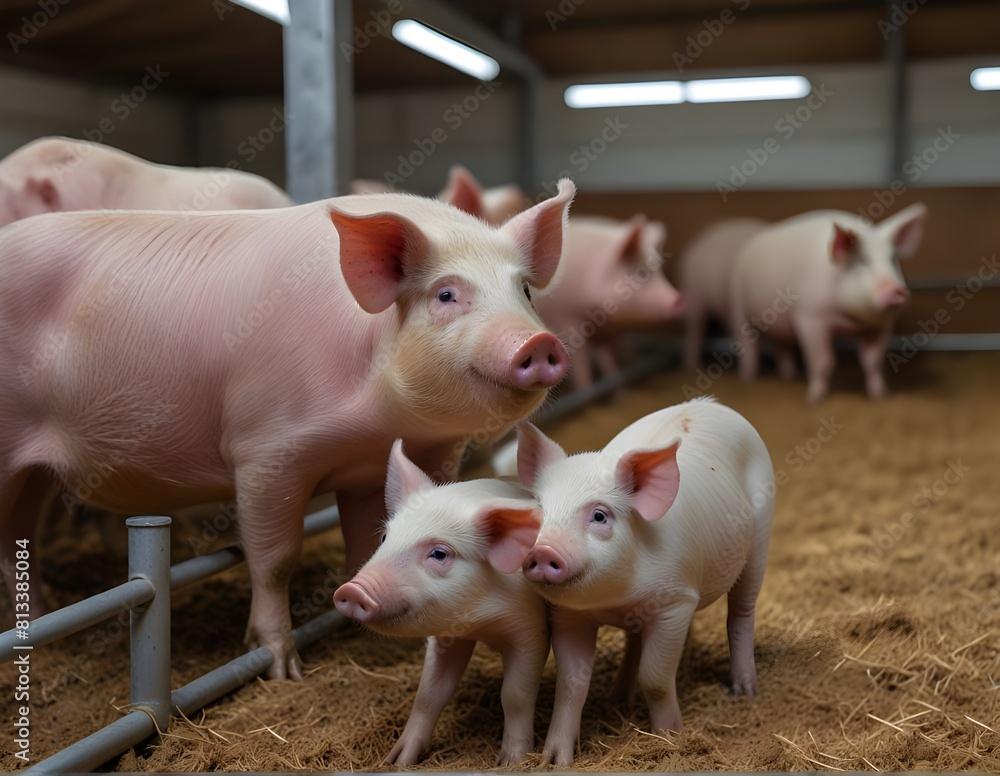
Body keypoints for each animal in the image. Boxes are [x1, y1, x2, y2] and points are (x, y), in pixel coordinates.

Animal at [0, 180, 575, 680]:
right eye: (446, 294)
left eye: (525, 289)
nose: (539, 342)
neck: (379, 418)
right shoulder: (265, 450)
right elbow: (275, 559)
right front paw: (282, 669)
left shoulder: (382, 462)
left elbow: (366, 539)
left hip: (35, 474)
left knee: (19, 535)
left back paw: (43, 616)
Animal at [334, 440, 547, 766]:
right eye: (384, 538)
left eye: (439, 553)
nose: (353, 590)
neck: (480, 624)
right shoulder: (446, 635)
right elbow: (429, 694)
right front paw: (396, 762)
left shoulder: (531, 627)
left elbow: (515, 695)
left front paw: (511, 763)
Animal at [514, 397, 774, 766]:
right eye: (538, 511)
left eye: (599, 515)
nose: (542, 550)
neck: (614, 601)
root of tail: (714, 405)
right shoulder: (568, 615)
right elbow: (571, 683)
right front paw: (554, 762)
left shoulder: (676, 602)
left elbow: (655, 678)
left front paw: (670, 739)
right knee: (635, 640)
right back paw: (617, 700)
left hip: (760, 536)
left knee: (741, 613)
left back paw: (745, 692)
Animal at [535, 215, 683, 390]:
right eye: (641, 273)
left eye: (659, 270)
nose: (678, 299)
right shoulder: (567, 318)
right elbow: (581, 359)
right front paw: (587, 388)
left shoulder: (605, 332)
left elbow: (607, 357)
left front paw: (619, 386)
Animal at [729, 205, 927, 403]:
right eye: (862, 262)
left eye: (893, 260)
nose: (897, 289)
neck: (850, 322)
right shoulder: (809, 318)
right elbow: (824, 361)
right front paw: (814, 399)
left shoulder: (881, 325)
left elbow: (873, 361)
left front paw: (880, 396)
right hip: (737, 300)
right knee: (747, 344)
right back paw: (749, 379)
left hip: (779, 325)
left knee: (782, 346)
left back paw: (789, 377)